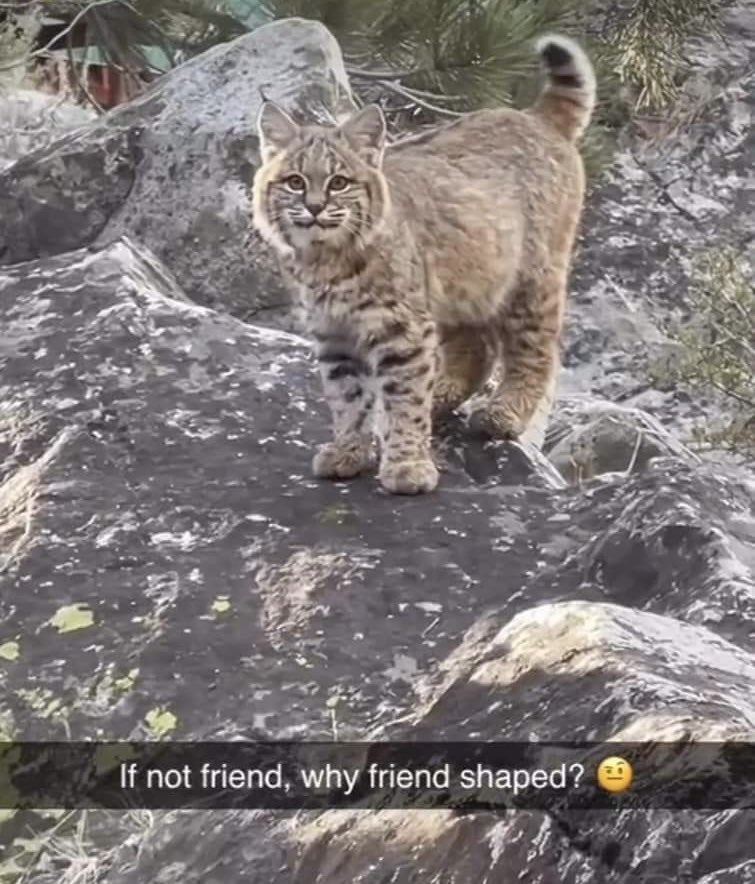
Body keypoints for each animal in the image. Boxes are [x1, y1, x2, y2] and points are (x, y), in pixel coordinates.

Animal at [252, 34, 595, 494]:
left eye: (339, 182)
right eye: (294, 182)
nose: (314, 208)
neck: (327, 257)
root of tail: (531, 116)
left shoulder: (401, 328)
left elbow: (404, 398)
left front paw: (407, 465)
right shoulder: (334, 332)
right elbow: (348, 400)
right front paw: (348, 451)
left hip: (531, 278)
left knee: (538, 352)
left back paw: (504, 413)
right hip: (461, 282)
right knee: (478, 347)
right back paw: (444, 394)